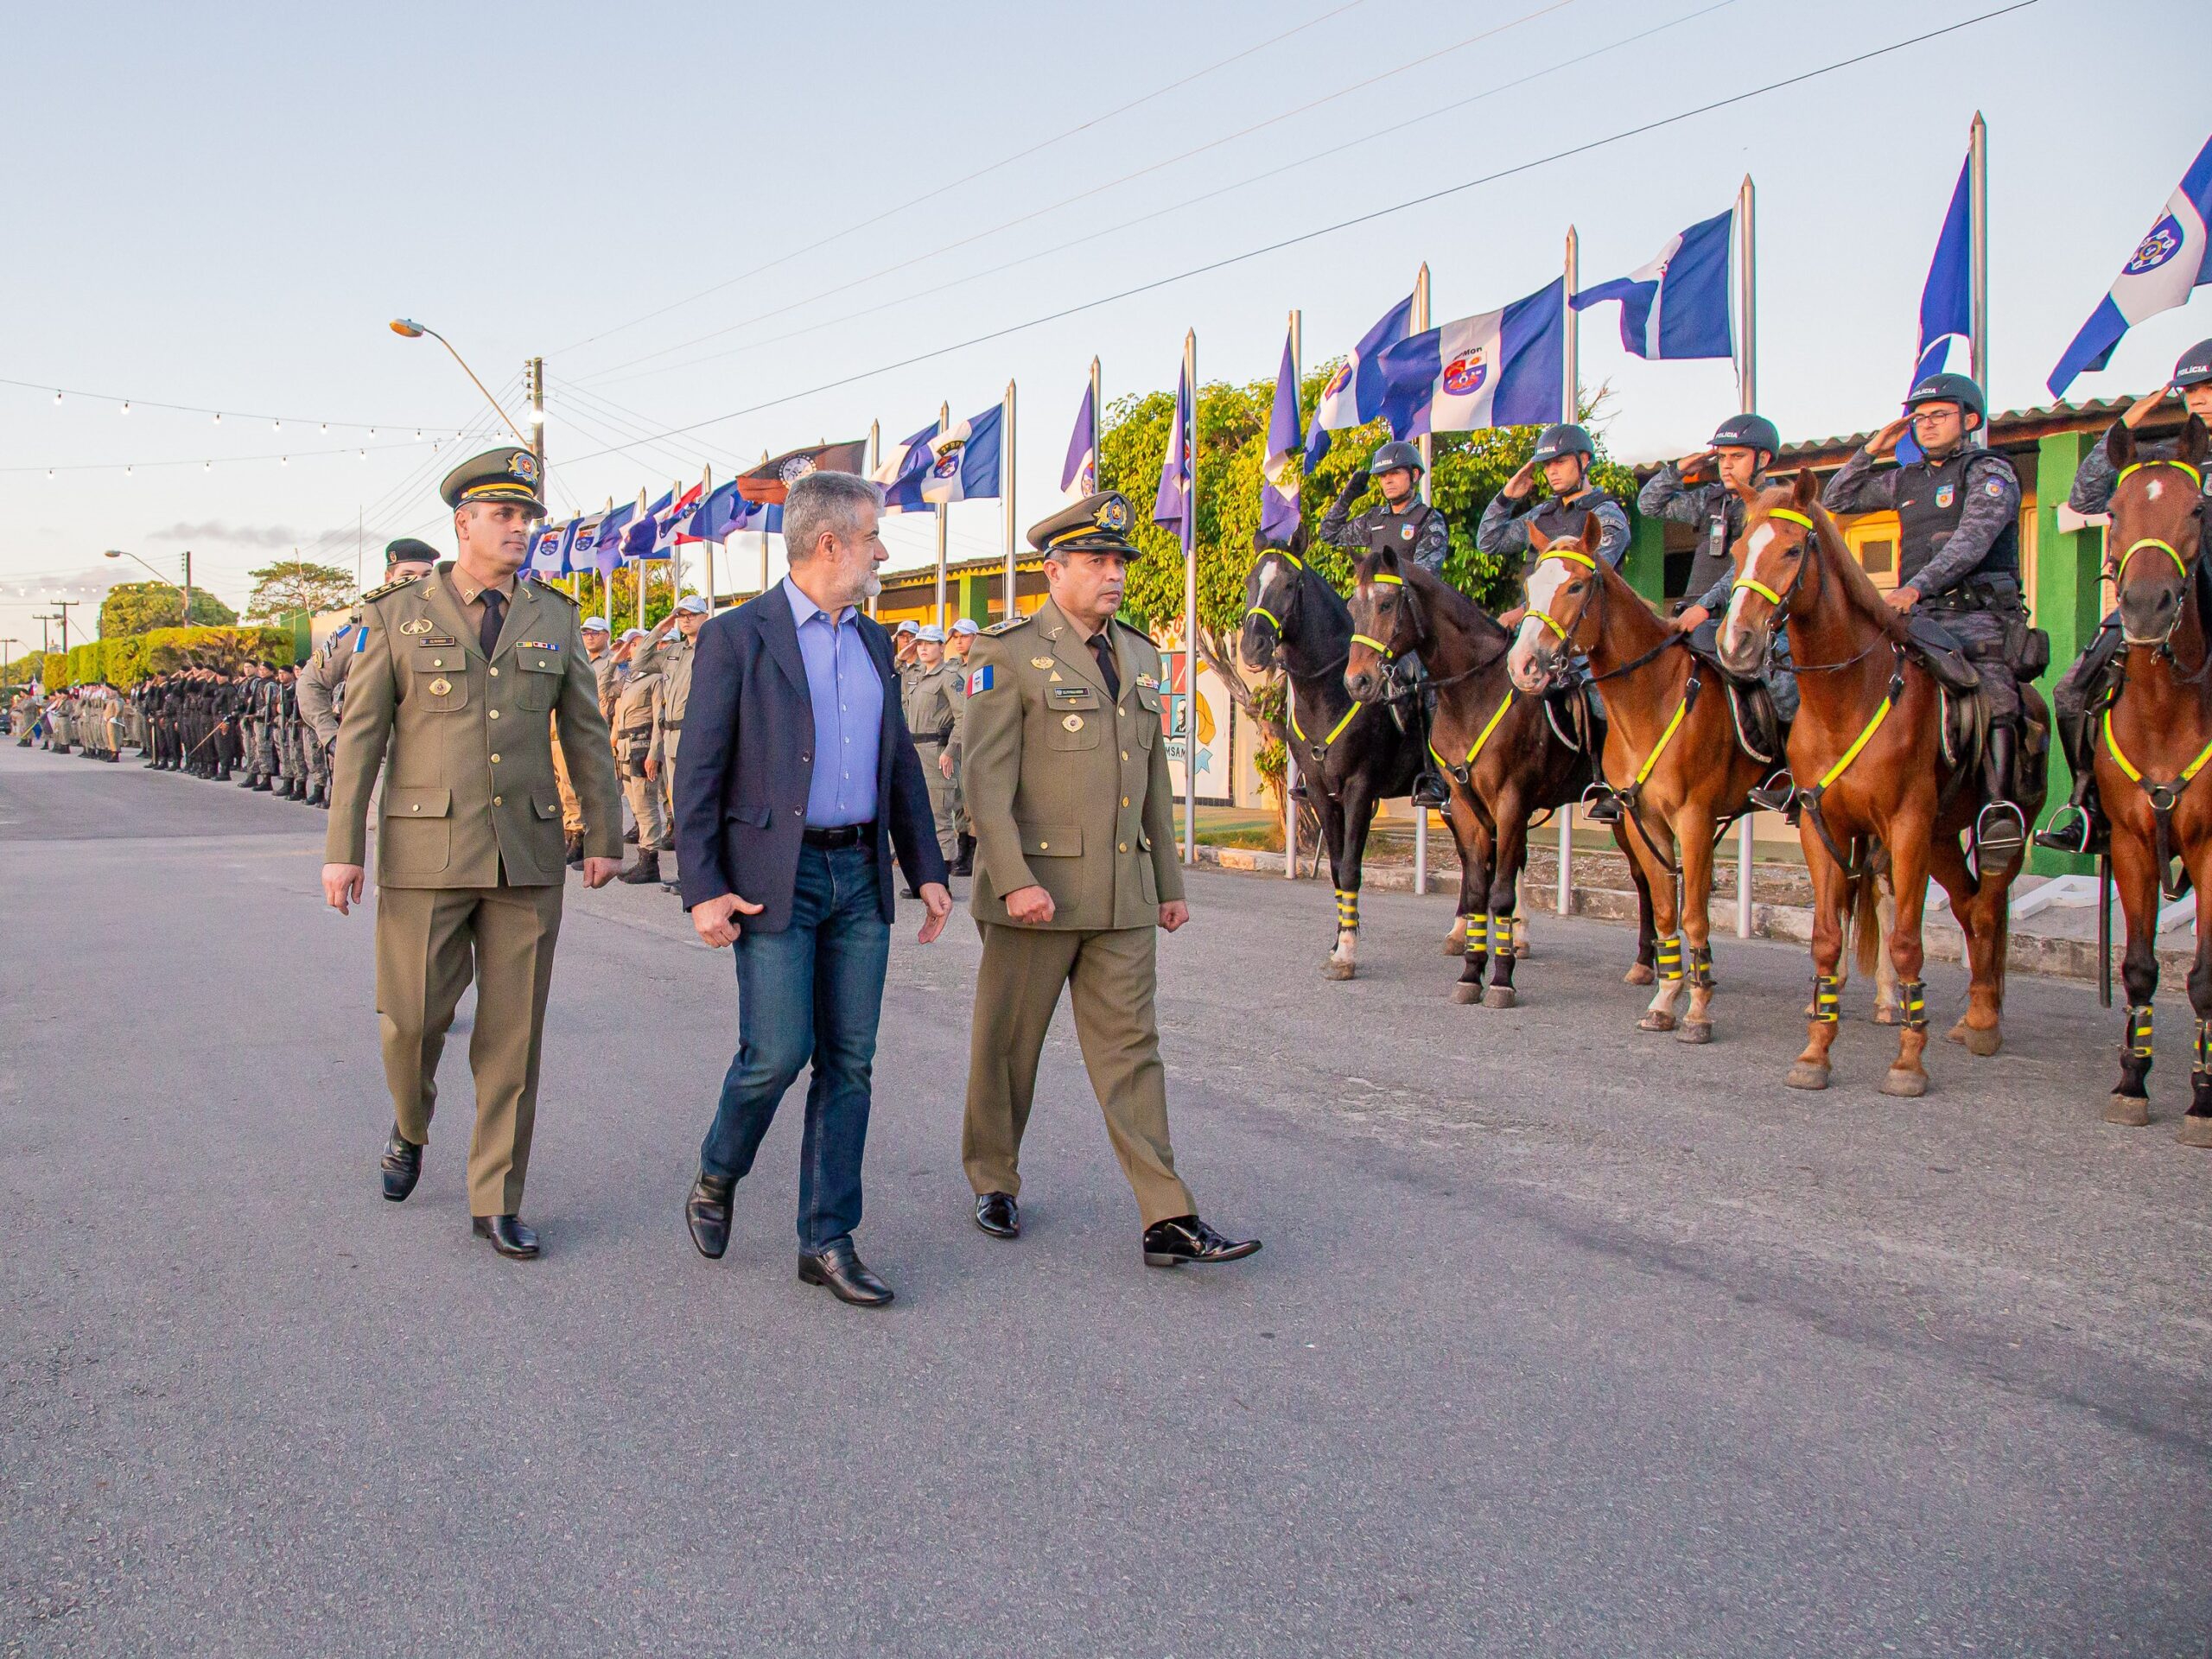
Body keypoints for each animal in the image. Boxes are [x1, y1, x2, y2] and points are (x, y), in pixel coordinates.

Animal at [1247, 526, 1468, 982]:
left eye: (1289, 585)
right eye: (1249, 582)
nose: (1252, 646)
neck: (1329, 690)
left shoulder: (1359, 790)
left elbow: (1350, 866)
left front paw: (1347, 952)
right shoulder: (1319, 792)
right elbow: (1335, 869)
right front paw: (1338, 941)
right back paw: (1463, 932)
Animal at [1327, 548, 1663, 1013]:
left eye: (1387, 604)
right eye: (1352, 607)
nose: (1357, 681)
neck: (1473, 693)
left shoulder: (1511, 803)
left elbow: (1501, 891)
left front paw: (1502, 980)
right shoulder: (1465, 806)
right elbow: (1476, 890)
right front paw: (1472, 972)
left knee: (1649, 880)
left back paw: (1650, 963)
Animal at [1495, 512, 1770, 1044]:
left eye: (1576, 586)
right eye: (1531, 586)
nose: (1523, 666)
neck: (1654, 697)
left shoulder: (1696, 821)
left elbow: (1694, 916)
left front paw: (1698, 1010)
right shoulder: (1644, 819)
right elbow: (1664, 908)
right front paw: (1666, 998)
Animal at [1707, 468, 2052, 1096]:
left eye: (1791, 550)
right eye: (1740, 550)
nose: (1736, 643)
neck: (1848, 698)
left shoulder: (1906, 828)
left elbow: (1908, 943)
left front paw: (1908, 1061)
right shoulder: (1823, 828)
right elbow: (1826, 937)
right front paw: (1816, 1052)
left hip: (1991, 834)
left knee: (1987, 910)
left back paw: (1984, 1021)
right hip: (1942, 839)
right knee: (1969, 908)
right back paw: (1973, 1018)